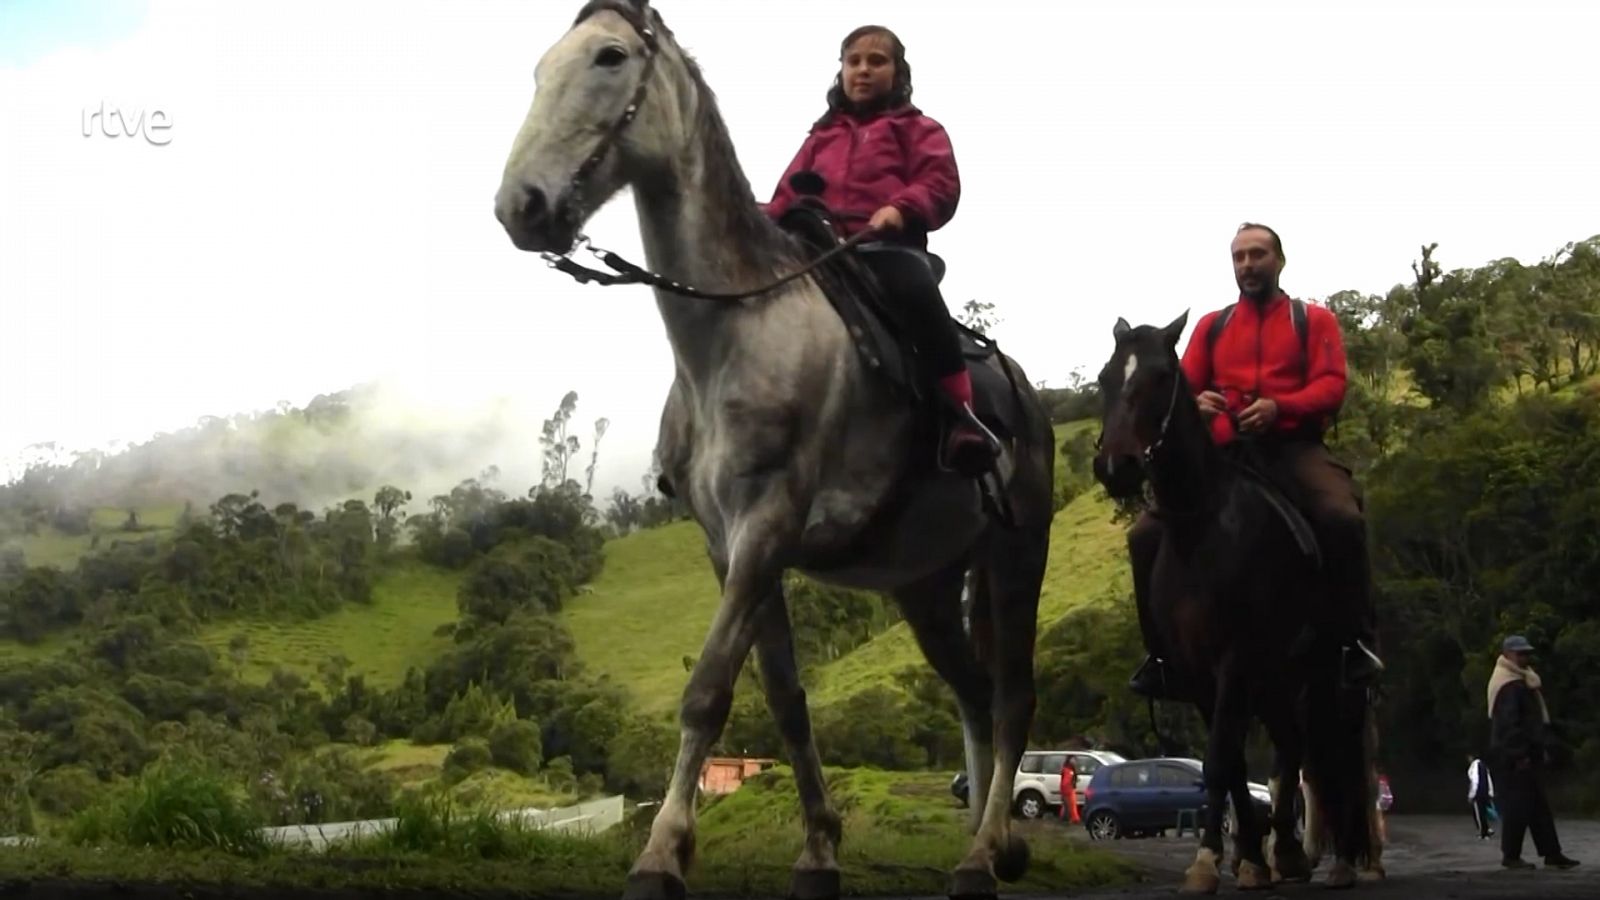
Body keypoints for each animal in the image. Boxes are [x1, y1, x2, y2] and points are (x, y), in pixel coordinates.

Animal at [492, 1, 1056, 896]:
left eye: (609, 58)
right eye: (543, 67)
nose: (523, 205)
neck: (736, 326)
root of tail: (1019, 392)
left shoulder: (767, 528)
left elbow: (708, 690)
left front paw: (662, 851)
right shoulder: (732, 547)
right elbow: (786, 697)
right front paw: (820, 848)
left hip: (1015, 554)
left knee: (1010, 699)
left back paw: (979, 856)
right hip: (926, 586)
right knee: (971, 692)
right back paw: (990, 839)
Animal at [1088, 312, 1376, 883]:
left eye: (1160, 377)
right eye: (1107, 378)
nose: (1116, 467)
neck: (1200, 527)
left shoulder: (1234, 661)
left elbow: (1221, 758)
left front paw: (1207, 862)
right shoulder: (1199, 671)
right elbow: (1234, 765)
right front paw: (1247, 858)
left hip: (1321, 673)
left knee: (1333, 747)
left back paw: (1341, 862)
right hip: (1277, 679)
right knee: (1293, 747)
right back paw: (1285, 851)